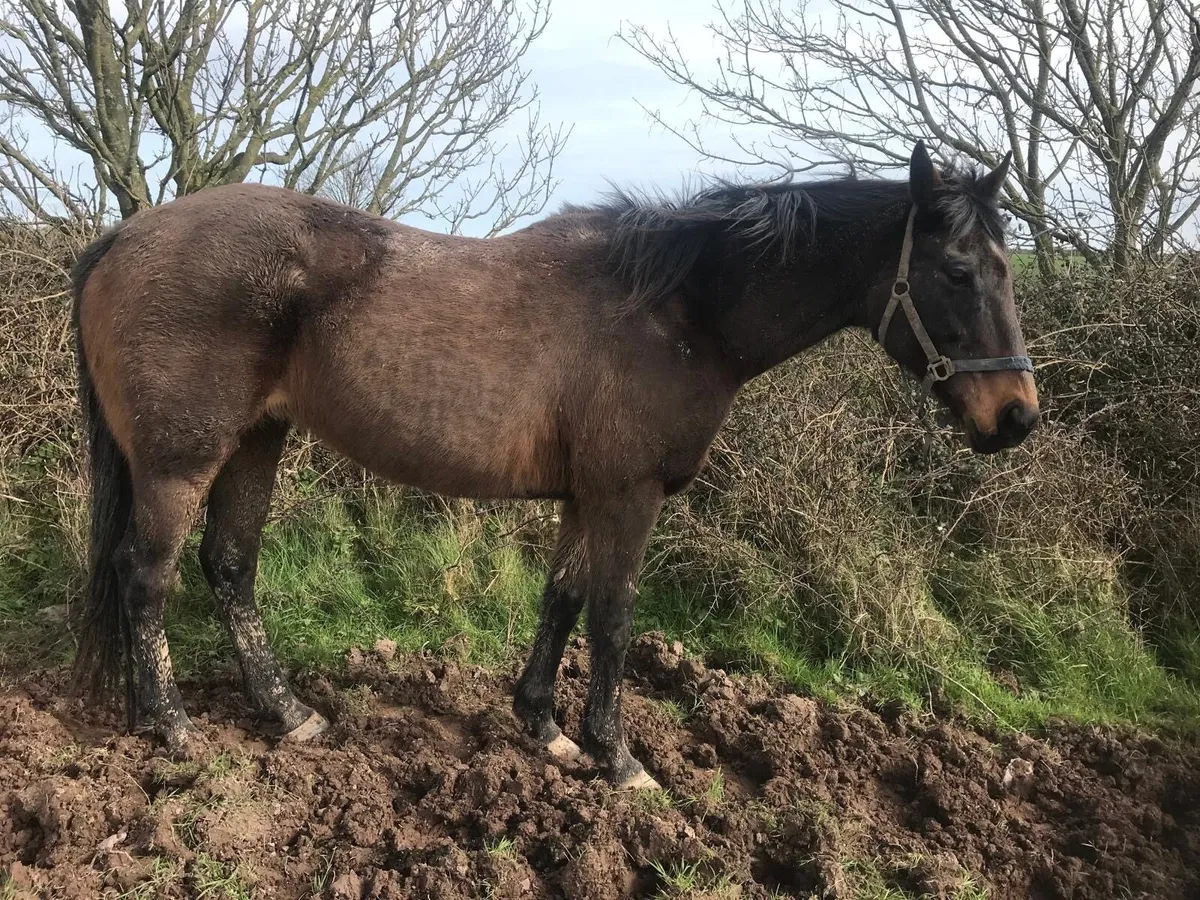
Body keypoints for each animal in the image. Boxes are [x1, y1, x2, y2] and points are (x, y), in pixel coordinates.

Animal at [69, 140, 1037, 789]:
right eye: (957, 270)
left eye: (1005, 269)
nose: (1017, 416)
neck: (682, 307)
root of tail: (123, 236)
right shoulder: (630, 495)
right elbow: (613, 616)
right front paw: (619, 758)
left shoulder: (587, 495)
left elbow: (563, 599)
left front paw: (543, 727)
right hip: (181, 459)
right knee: (146, 575)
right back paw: (173, 727)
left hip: (256, 441)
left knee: (229, 566)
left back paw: (288, 715)